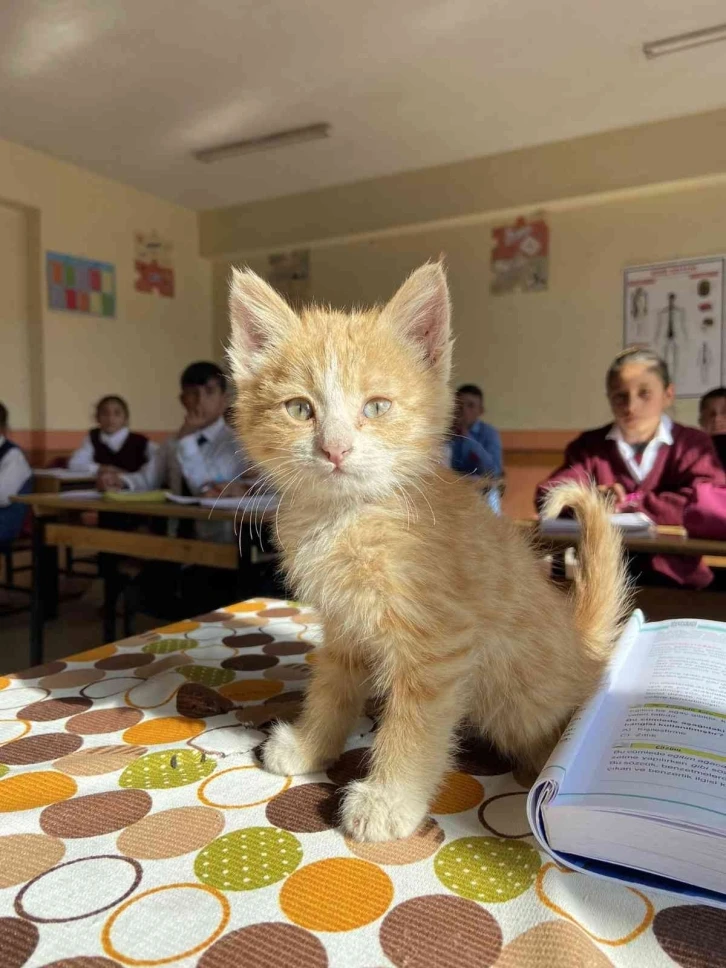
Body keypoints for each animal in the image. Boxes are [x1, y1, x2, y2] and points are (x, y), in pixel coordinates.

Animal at [229, 262, 632, 840]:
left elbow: (416, 724)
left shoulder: (440, 643)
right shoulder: (344, 624)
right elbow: (332, 687)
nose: (334, 449)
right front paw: (310, 745)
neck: (350, 517)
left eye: (376, 406)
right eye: (299, 409)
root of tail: (583, 646)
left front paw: (389, 799)